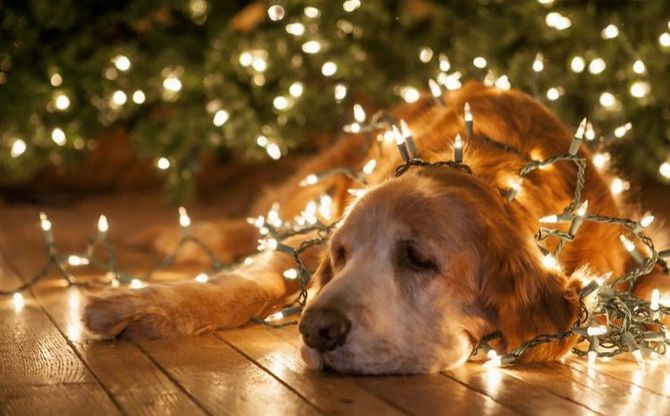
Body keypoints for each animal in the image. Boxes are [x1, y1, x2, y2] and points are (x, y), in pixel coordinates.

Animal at [82, 80, 668, 374]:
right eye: (341, 256)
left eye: (419, 259)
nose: (317, 330)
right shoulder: (310, 243)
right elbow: (257, 279)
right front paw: (141, 304)